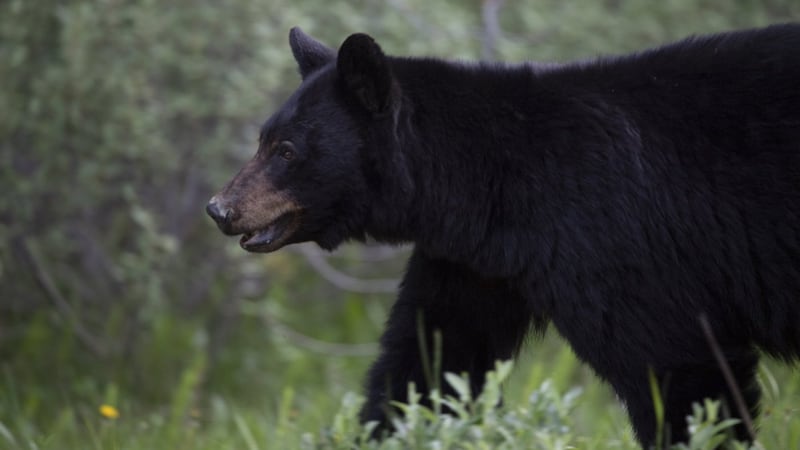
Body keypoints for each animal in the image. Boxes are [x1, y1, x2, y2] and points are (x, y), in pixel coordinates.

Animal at [207, 24, 800, 447]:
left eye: (287, 150)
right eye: (263, 139)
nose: (219, 208)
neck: (491, 184)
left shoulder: (612, 237)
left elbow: (677, 364)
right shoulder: (475, 263)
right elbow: (432, 362)